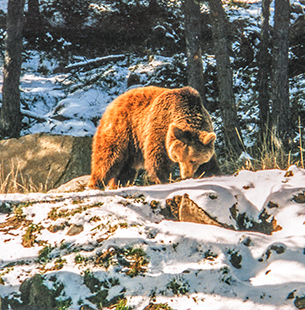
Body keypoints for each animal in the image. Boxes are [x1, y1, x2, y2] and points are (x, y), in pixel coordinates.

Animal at [88, 85, 218, 189]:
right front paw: (165, 179)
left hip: (133, 146)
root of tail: (115, 101)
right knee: (108, 159)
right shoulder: (159, 128)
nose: (186, 176)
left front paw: (212, 173)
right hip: (122, 130)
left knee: (127, 169)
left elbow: (210, 162)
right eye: (179, 158)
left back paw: (120, 184)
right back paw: (96, 185)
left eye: (193, 159)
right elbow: (157, 158)